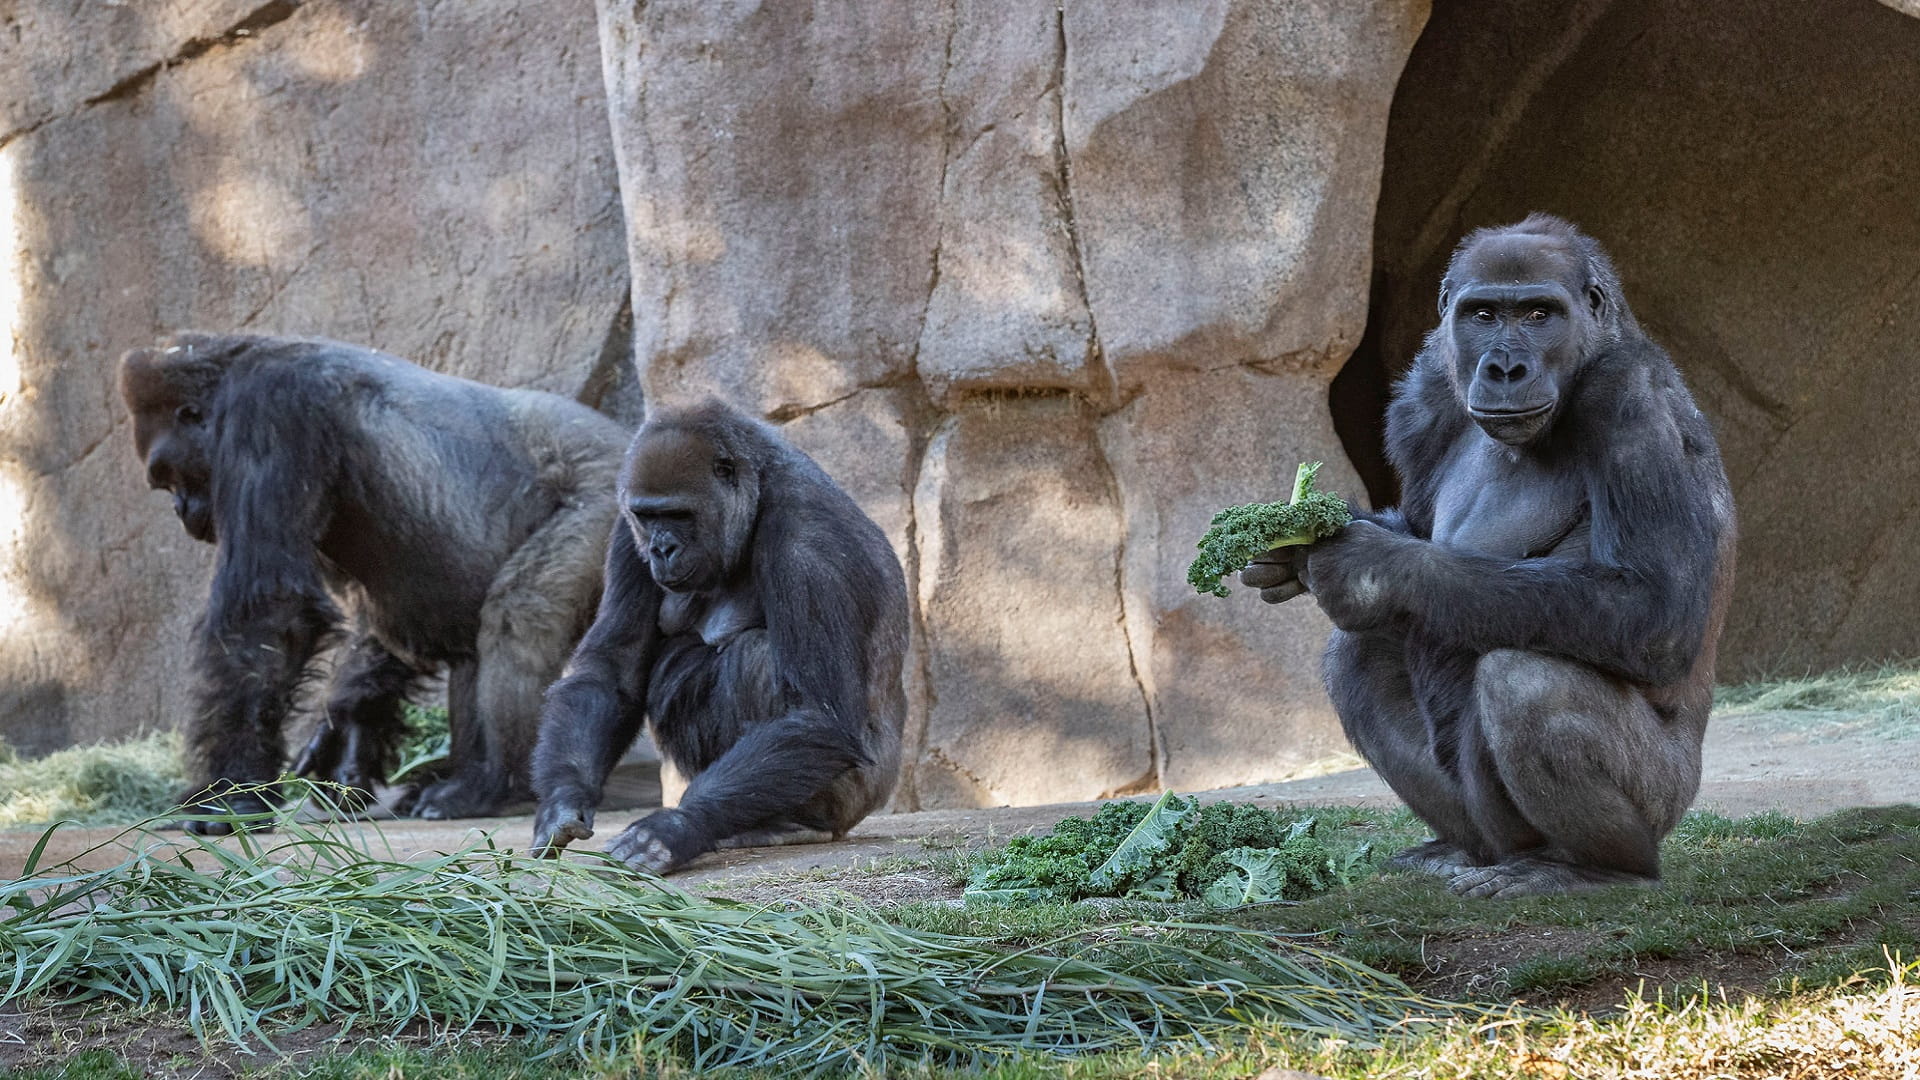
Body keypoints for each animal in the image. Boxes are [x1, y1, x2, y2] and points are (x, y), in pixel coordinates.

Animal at [118, 332, 629, 826]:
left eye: (170, 474)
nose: (180, 510)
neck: (232, 369)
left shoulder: (269, 406)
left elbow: (270, 615)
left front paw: (230, 791)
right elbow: (382, 623)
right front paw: (347, 725)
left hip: (608, 497)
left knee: (518, 615)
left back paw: (492, 783)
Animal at [529, 399, 910, 868]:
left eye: (679, 515)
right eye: (648, 516)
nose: (661, 549)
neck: (759, 491)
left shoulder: (808, 540)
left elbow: (818, 715)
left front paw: (677, 827)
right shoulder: (625, 532)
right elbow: (611, 673)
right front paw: (561, 801)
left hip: (857, 798)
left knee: (754, 656)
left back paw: (792, 823)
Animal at [1244, 214, 1743, 895]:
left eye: (1538, 313)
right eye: (1483, 314)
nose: (1505, 366)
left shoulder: (1631, 395)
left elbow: (1654, 608)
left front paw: (1370, 568)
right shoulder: (1426, 396)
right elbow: (1414, 527)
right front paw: (1297, 544)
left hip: (1668, 798)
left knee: (1526, 680)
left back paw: (1593, 867)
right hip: (1485, 825)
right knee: (1359, 657)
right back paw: (1462, 850)